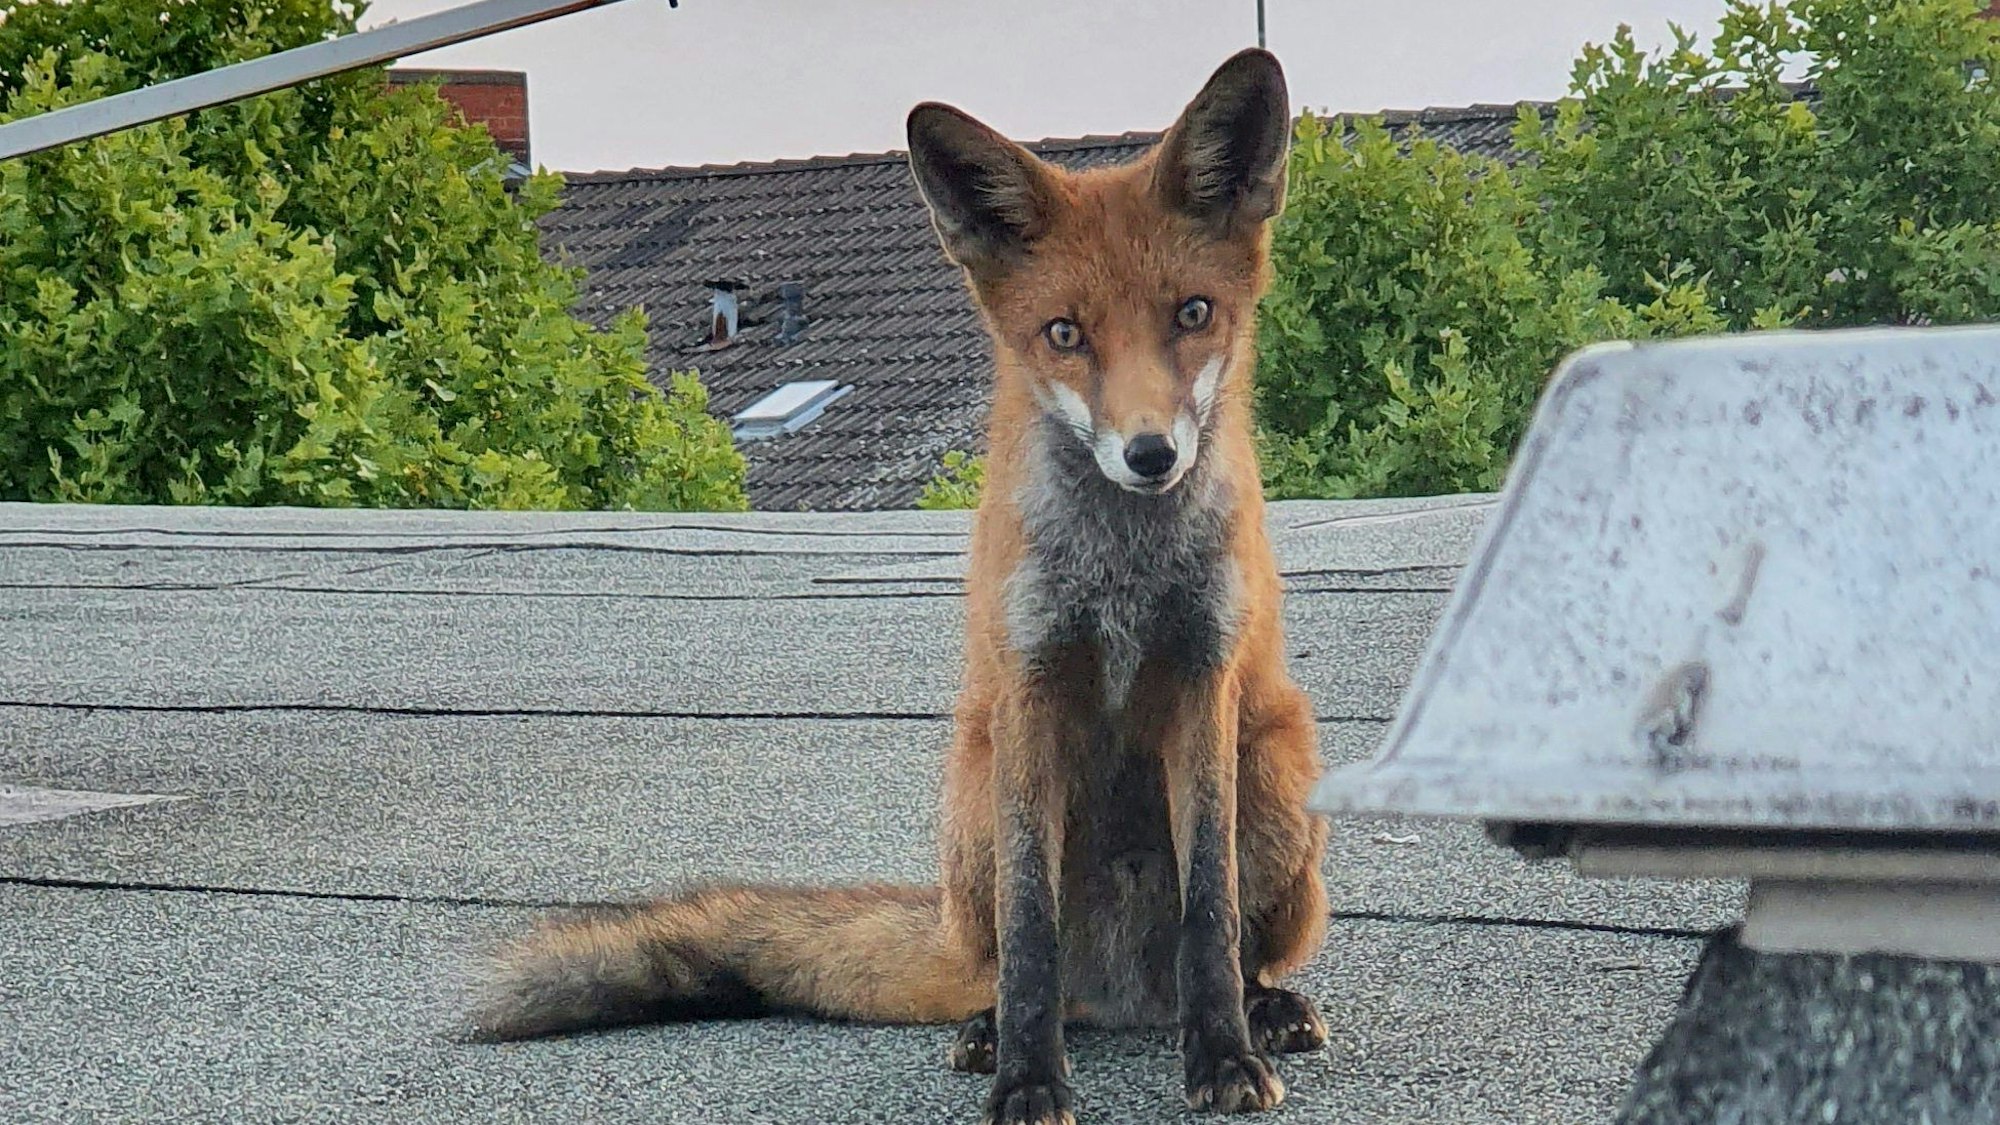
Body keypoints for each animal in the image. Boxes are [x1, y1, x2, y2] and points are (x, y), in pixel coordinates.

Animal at [465, 48, 1330, 1124]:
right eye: (1063, 334)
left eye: (1194, 315)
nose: (1148, 455)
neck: (1123, 572)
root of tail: (1128, 998)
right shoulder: (1029, 686)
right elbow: (1031, 933)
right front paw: (1027, 1078)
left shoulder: (1202, 680)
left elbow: (1210, 909)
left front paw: (1221, 1056)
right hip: (972, 794)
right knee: (1014, 966)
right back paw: (993, 1027)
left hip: (1278, 768)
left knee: (1239, 949)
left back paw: (1268, 1009)